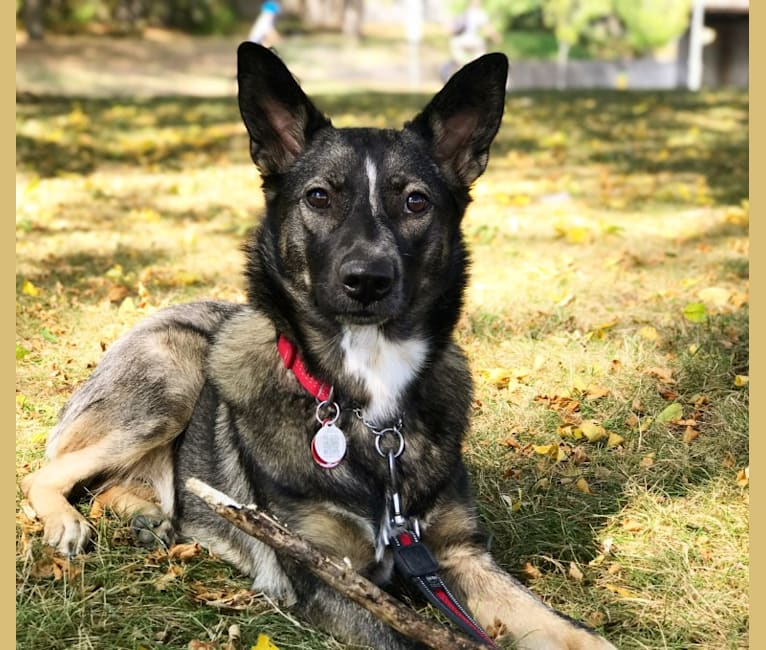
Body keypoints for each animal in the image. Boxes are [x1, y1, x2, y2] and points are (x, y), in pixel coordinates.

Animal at [21, 43, 616, 644]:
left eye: (416, 202)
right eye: (319, 196)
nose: (367, 280)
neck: (371, 407)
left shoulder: (458, 554)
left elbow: (566, 629)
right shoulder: (327, 573)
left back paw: (142, 513)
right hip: (170, 381)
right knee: (43, 474)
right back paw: (67, 521)